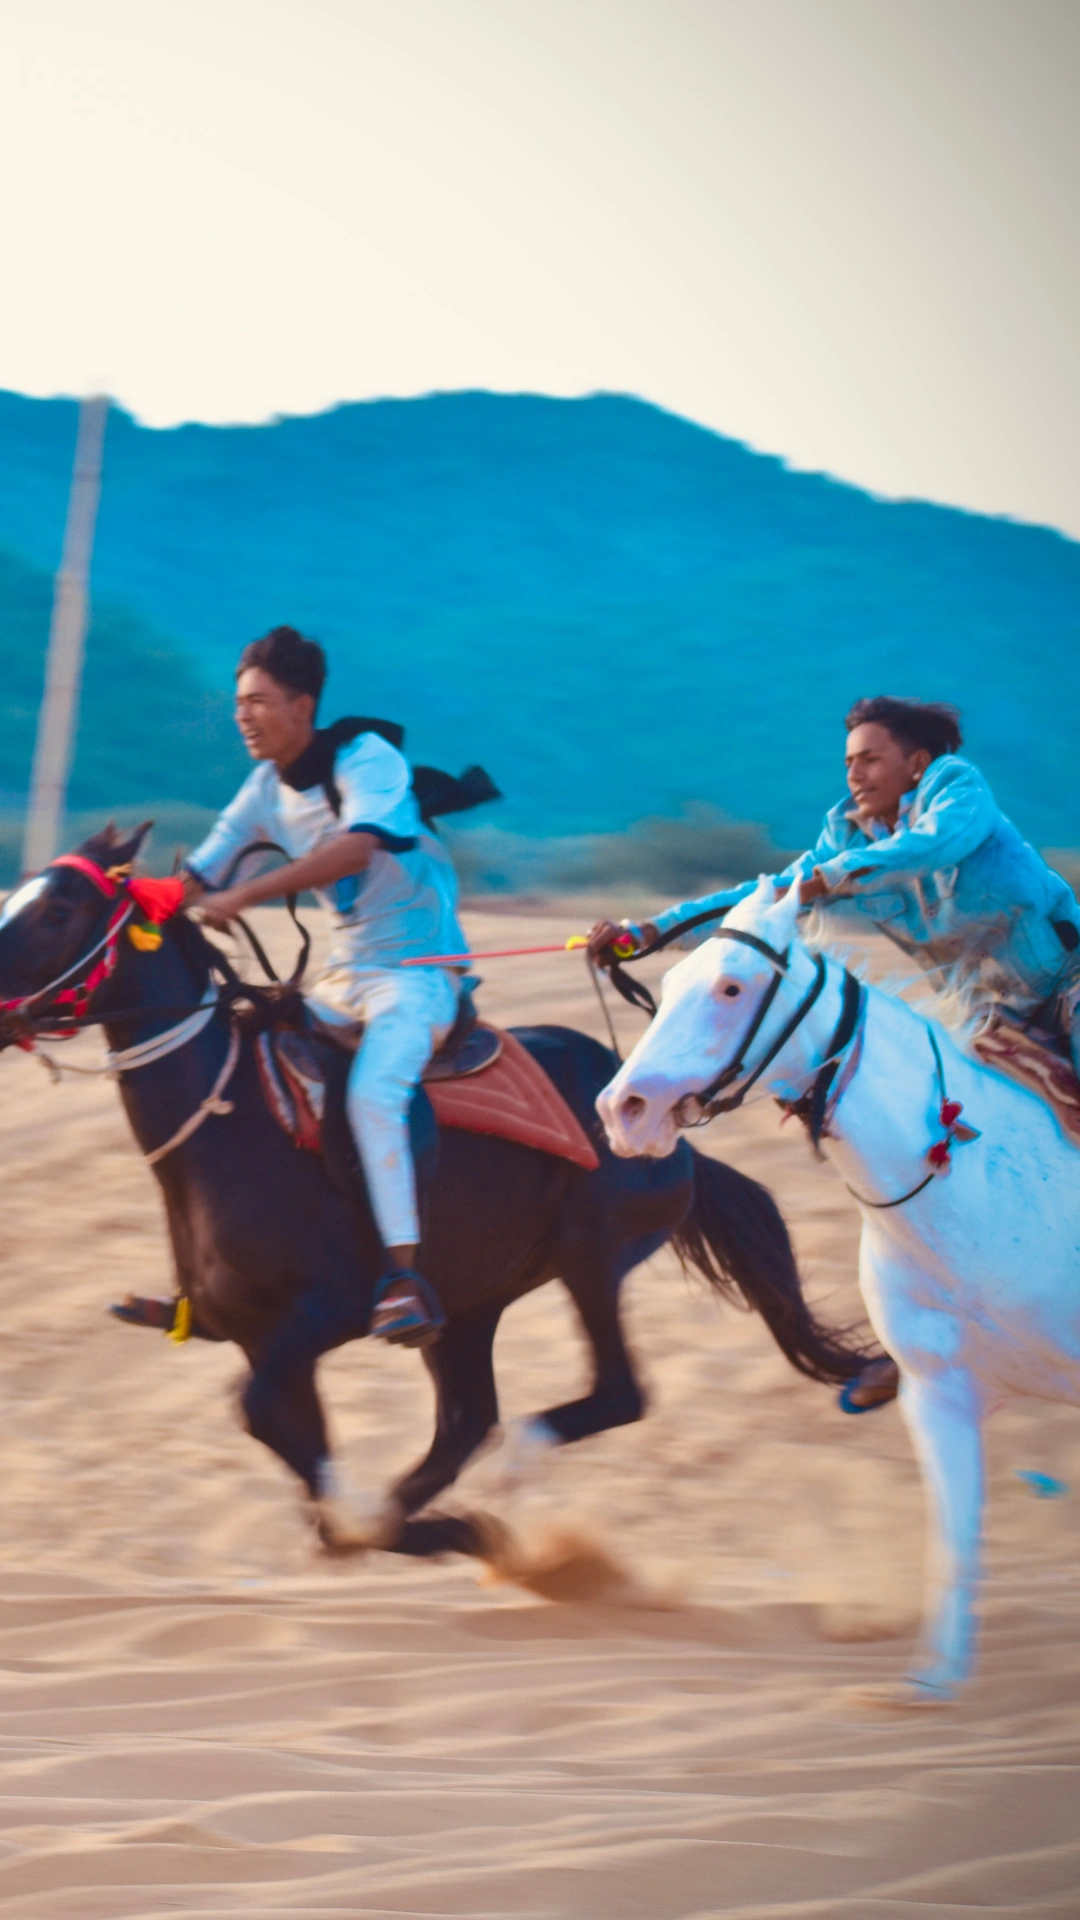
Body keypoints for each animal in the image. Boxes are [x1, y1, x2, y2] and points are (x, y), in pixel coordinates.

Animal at [0, 826, 866, 1567]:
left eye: (57, 910)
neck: (232, 1121)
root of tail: (667, 1131)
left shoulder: (318, 1316)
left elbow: (267, 1422)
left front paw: (408, 1526)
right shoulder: (257, 1336)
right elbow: (292, 1441)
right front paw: (417, 1527)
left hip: (590, 1257)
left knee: (613, 1393)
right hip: (471, 1302)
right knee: (466, 1420)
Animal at [596, 870, 1080, 1701]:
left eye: (731, 986)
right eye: (670, 982)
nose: (622, 1110)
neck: (973, 1180)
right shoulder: (939, 1392)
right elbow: (955, 1540)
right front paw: (930, 1681)